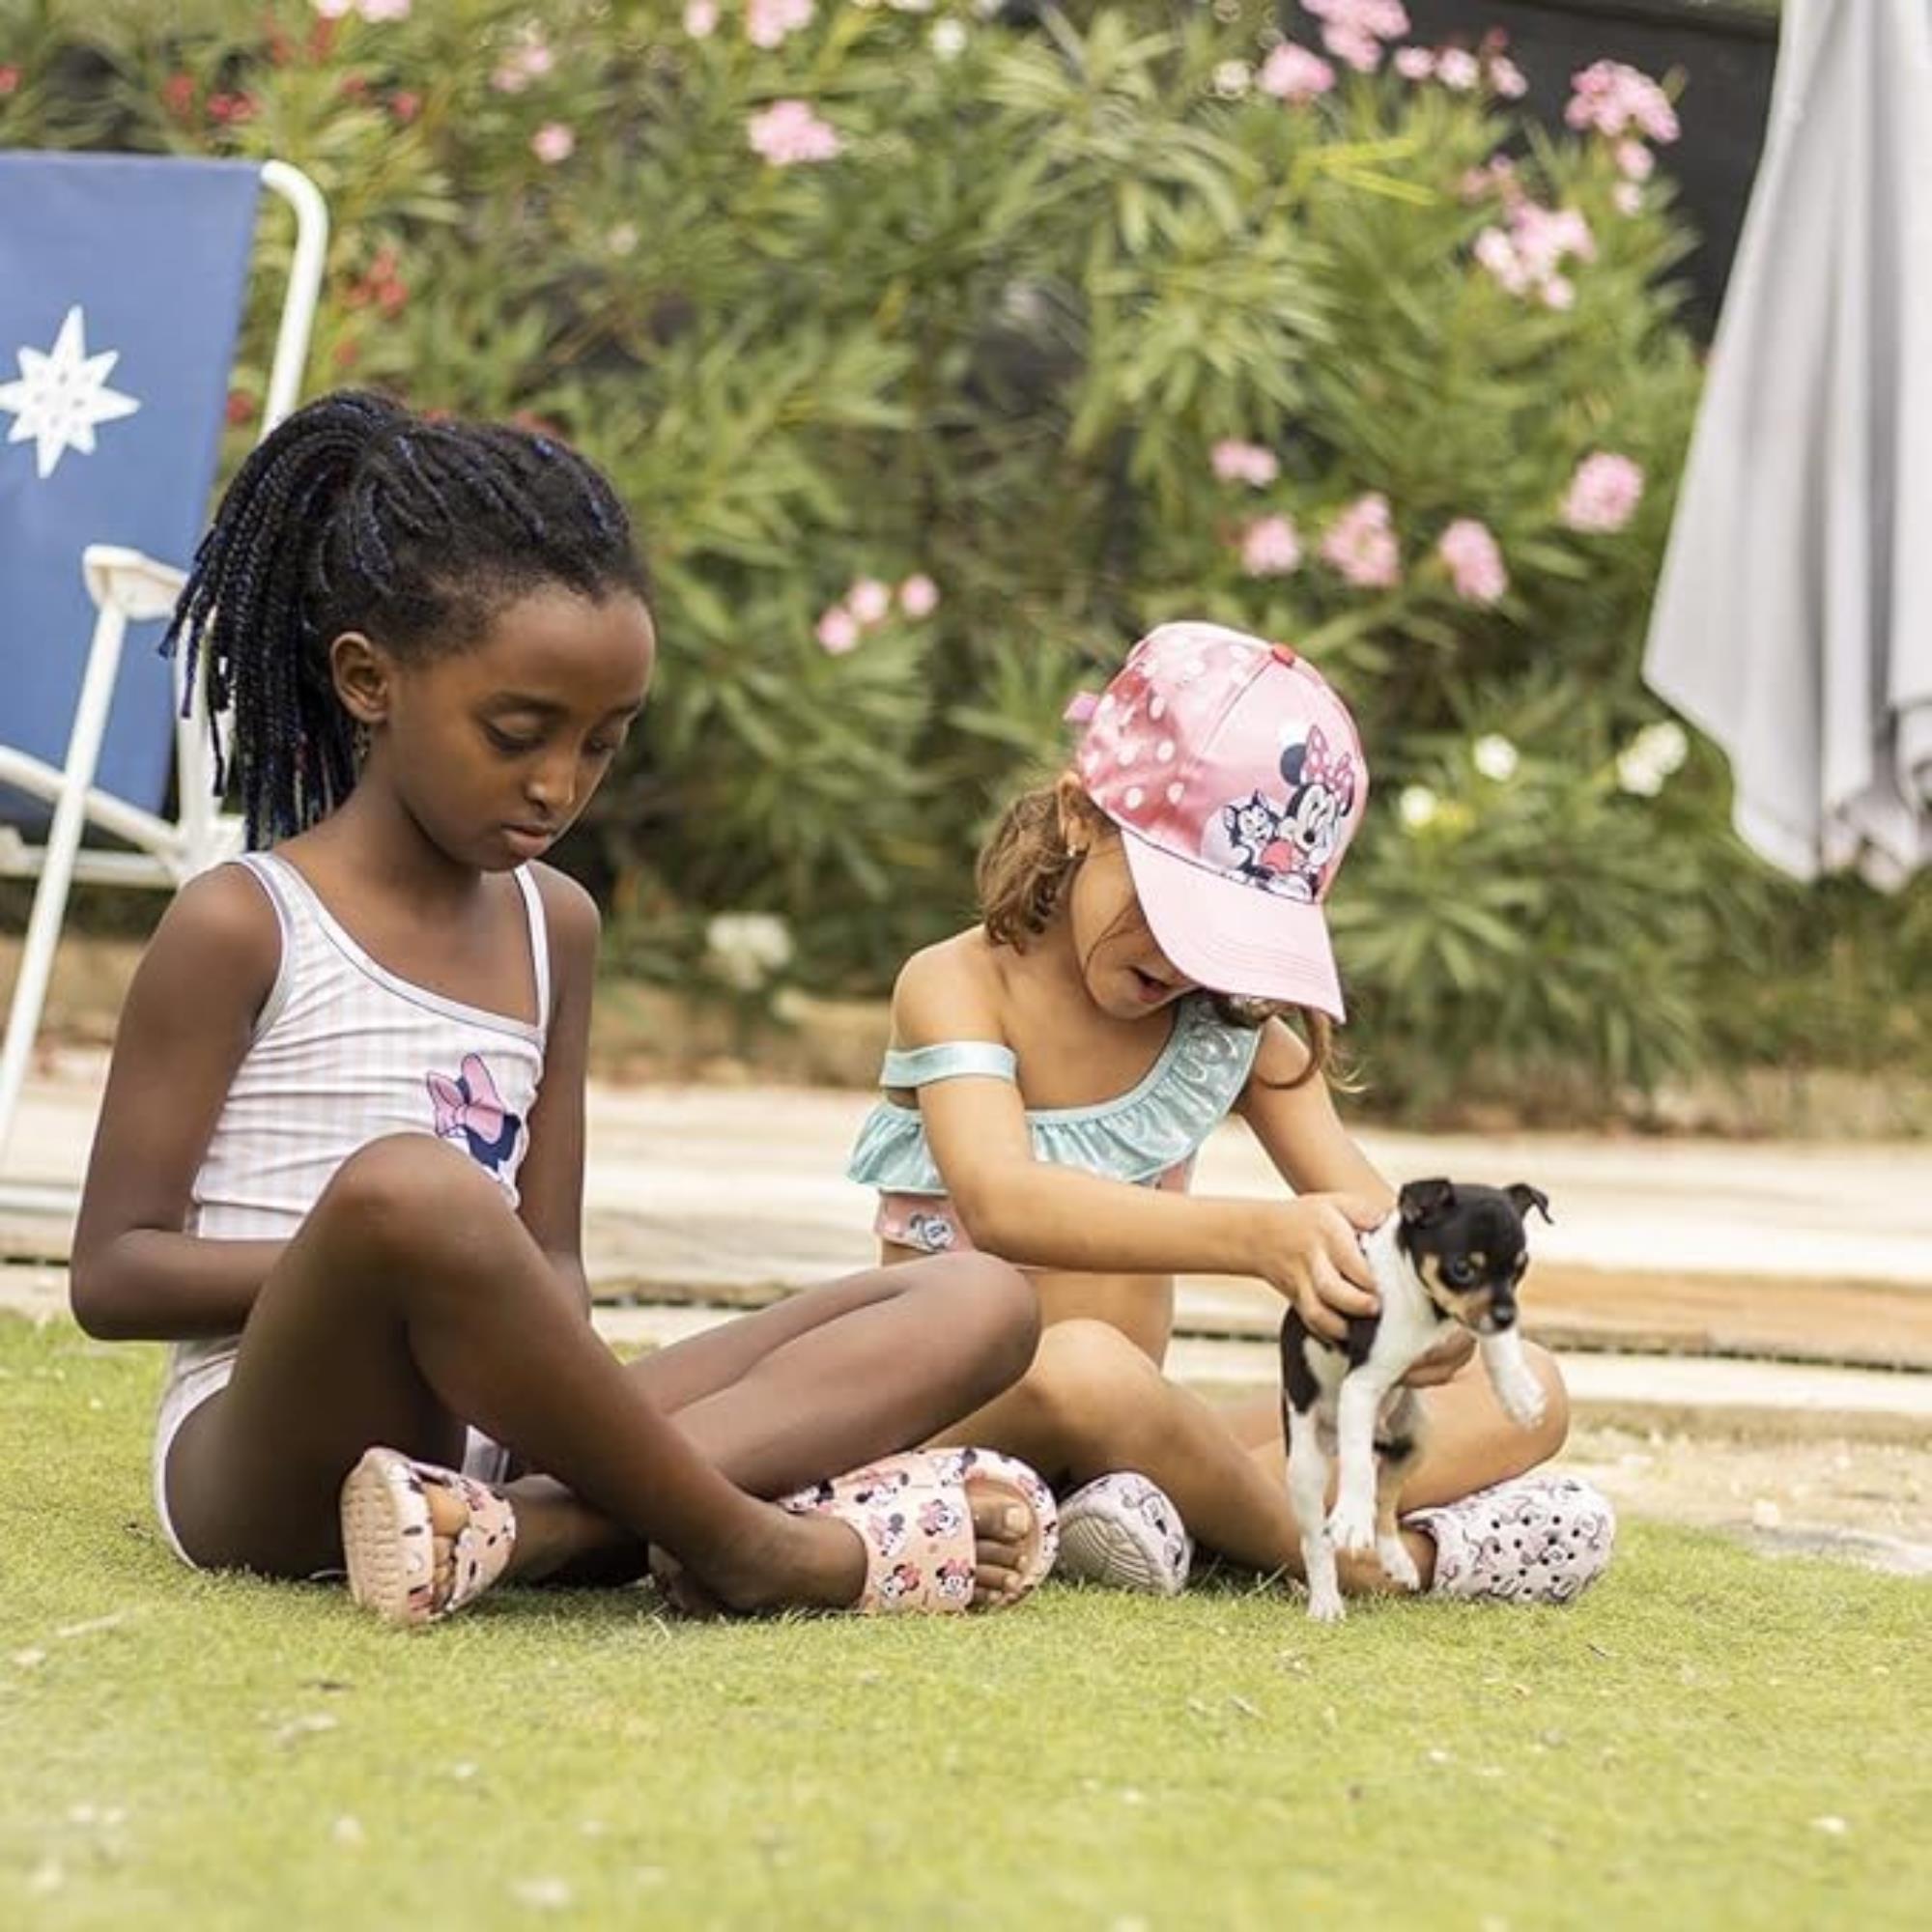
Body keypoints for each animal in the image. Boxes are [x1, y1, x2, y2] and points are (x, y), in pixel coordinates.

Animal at [1283, 1175, 1553, 1615]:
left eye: (1521, 1268)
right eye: (1462, 1269)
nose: (1507, 1316)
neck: (1425, 1306)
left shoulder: (1476, 1321)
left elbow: (1497, 1345)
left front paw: (1519, 1393)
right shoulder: (1361, 1386)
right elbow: (1358, 1464)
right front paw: (1351, 1516)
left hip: (1415, 1441)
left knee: (1386, 1502)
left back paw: (1396, 1559)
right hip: (1305, 1466)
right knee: (1317, 1540)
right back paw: (1325, 1600)